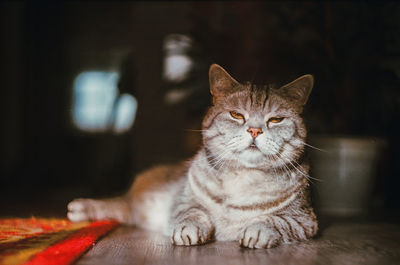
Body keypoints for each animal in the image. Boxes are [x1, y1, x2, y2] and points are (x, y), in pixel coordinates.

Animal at [69, 63, 318, 248]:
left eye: (276, 119)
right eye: (236, 115)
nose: (255, 130)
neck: (243, 177)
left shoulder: (305, 220)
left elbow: (277, 220)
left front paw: (258, 230)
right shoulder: (183, 200)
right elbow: (192, 212)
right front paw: (189, 228)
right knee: (119, 203)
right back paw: (79, 209)